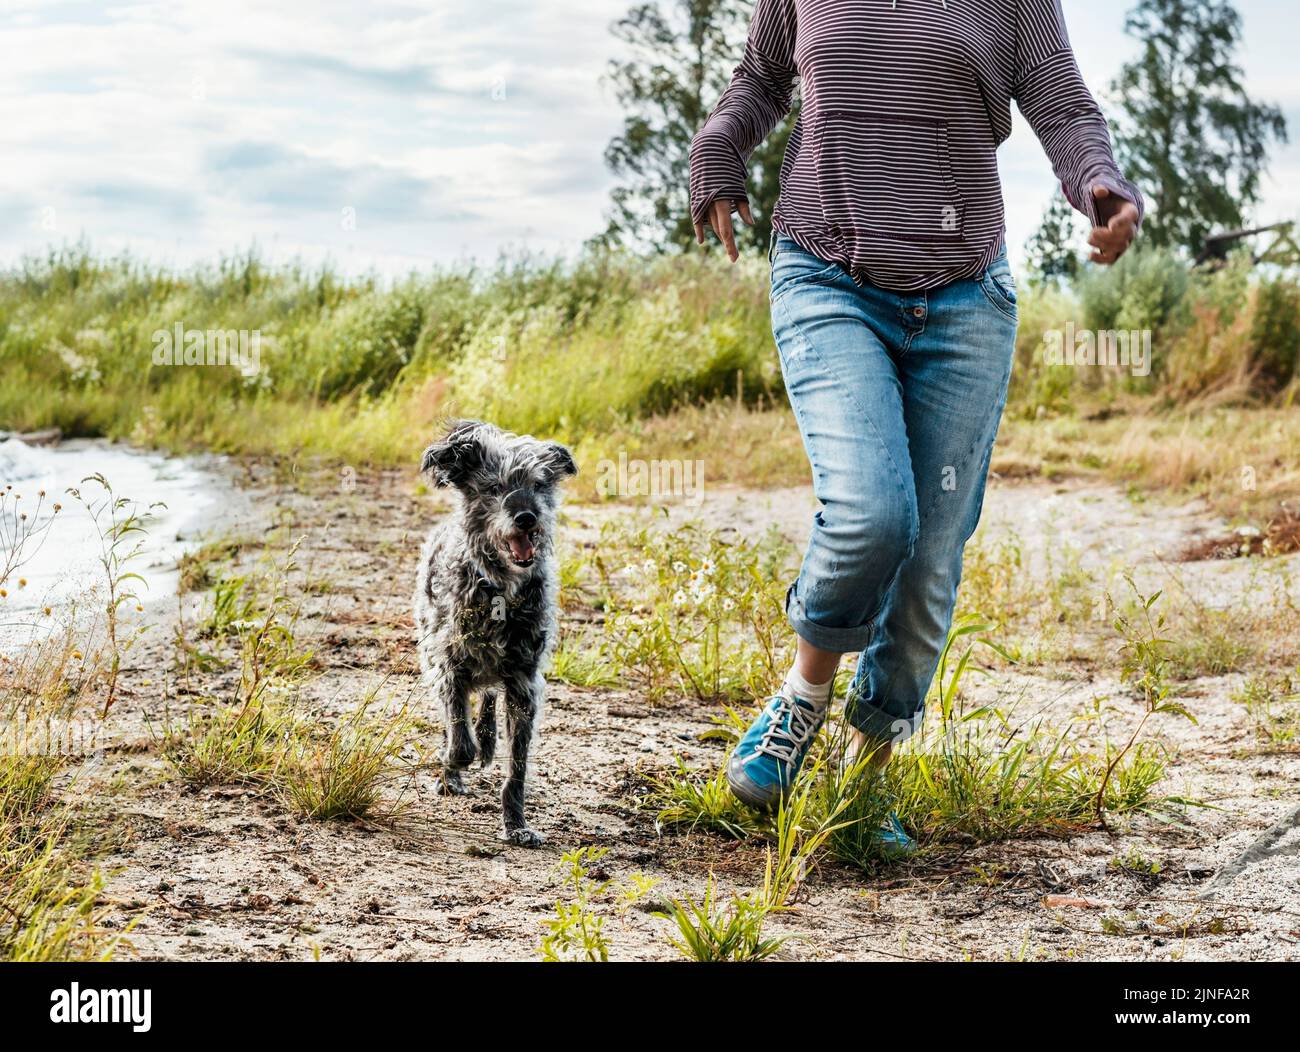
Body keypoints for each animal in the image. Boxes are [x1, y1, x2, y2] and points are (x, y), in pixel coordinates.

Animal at [413, 418, 577, 847]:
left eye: (539, 485)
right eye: (493, 488)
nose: (526, 517)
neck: (500, 587)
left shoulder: (523, 683)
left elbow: (516, 768)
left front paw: (516, 824)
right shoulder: (448, 666)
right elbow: (459, 737)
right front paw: (450, 764)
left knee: (486, 696)